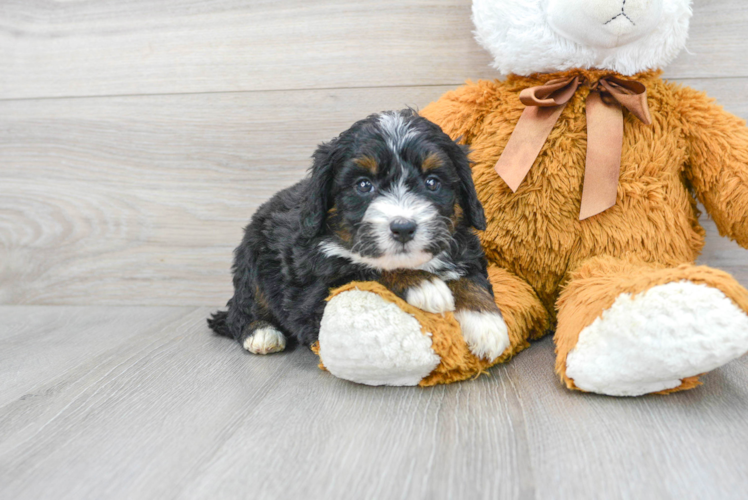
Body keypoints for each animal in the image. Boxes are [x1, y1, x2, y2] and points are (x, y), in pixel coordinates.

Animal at [207, 108, 506, 360]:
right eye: (364, 185)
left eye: (432, 182)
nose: (403, 228)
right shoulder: (313, 293)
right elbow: (364, 269)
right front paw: (422, 284)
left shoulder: (465, 248)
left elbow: (472, 281)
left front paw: (487, 323)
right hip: (252, 260)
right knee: (241, 309)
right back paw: (262, 333)